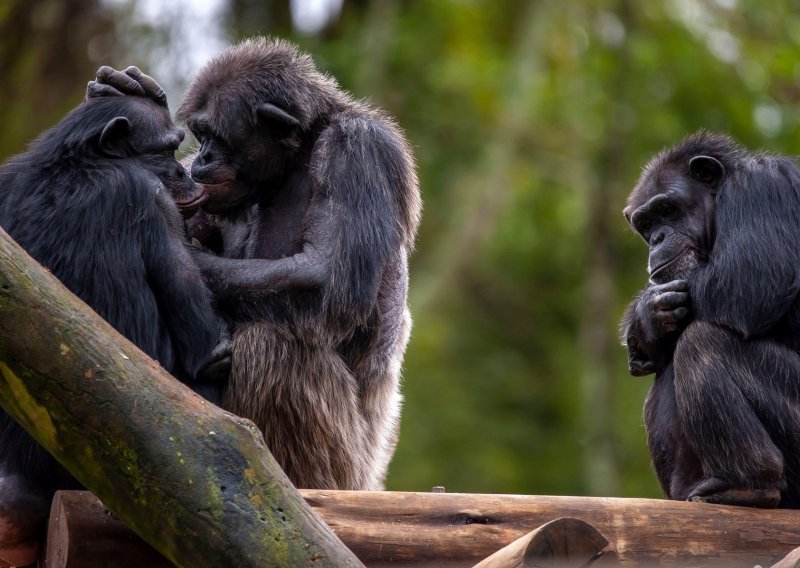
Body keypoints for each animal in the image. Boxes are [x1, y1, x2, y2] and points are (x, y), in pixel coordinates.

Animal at [95, 38, 424, 492]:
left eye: (215, 135)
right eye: (200, 136)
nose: (204, 157)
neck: (297, 157)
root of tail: (370, 480)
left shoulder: (360, 151)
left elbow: (324, 276)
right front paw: (123, 91)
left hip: (345, 466)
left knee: (270, 346)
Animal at [620, 132, 800, 510]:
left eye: (667, 210)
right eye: (646, 224)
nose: (657, 238)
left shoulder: (762, 188)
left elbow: (750, 279)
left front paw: (642, 315)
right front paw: (648, 318)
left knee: (703, 342)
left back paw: (748, 482)